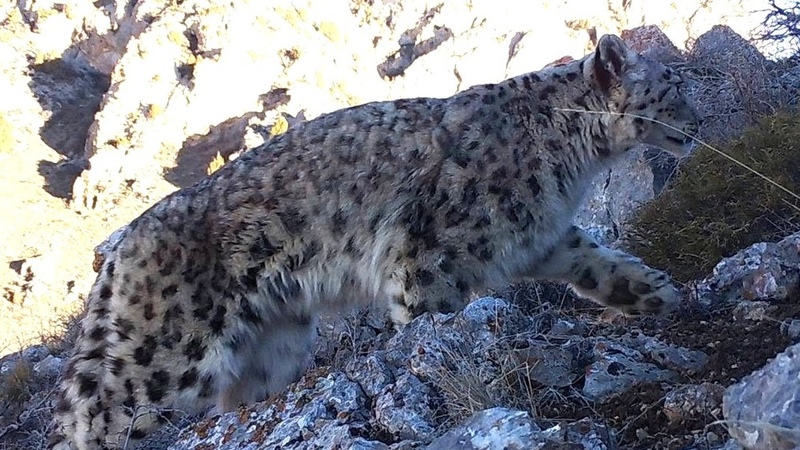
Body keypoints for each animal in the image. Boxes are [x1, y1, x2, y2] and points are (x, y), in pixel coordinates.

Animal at [50, 34, 699, 449]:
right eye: (672, 86)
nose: (697, 124)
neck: (575, 160)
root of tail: (121, 247)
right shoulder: (430, 256)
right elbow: (430, 320)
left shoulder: (543, 237)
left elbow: (599, 262)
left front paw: (656, 293)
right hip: (167, 354)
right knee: (96, 413)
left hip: (275, 346)